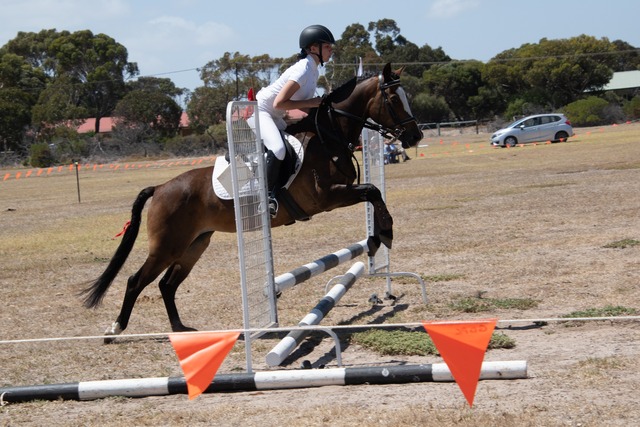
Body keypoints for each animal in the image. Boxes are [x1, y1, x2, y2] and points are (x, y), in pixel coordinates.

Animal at [81, 63, 423, 341]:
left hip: (194, 244)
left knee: (167, 284)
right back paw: (115, 329)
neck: (327, 137)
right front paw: (385, 233)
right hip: (167, 246)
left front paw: (377, 237)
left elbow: (373, 193)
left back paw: (181, 329)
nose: (415, 136)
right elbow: (372, 190)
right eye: (394, 100)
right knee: (136, 280)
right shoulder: (326, 197)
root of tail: (161, 187)